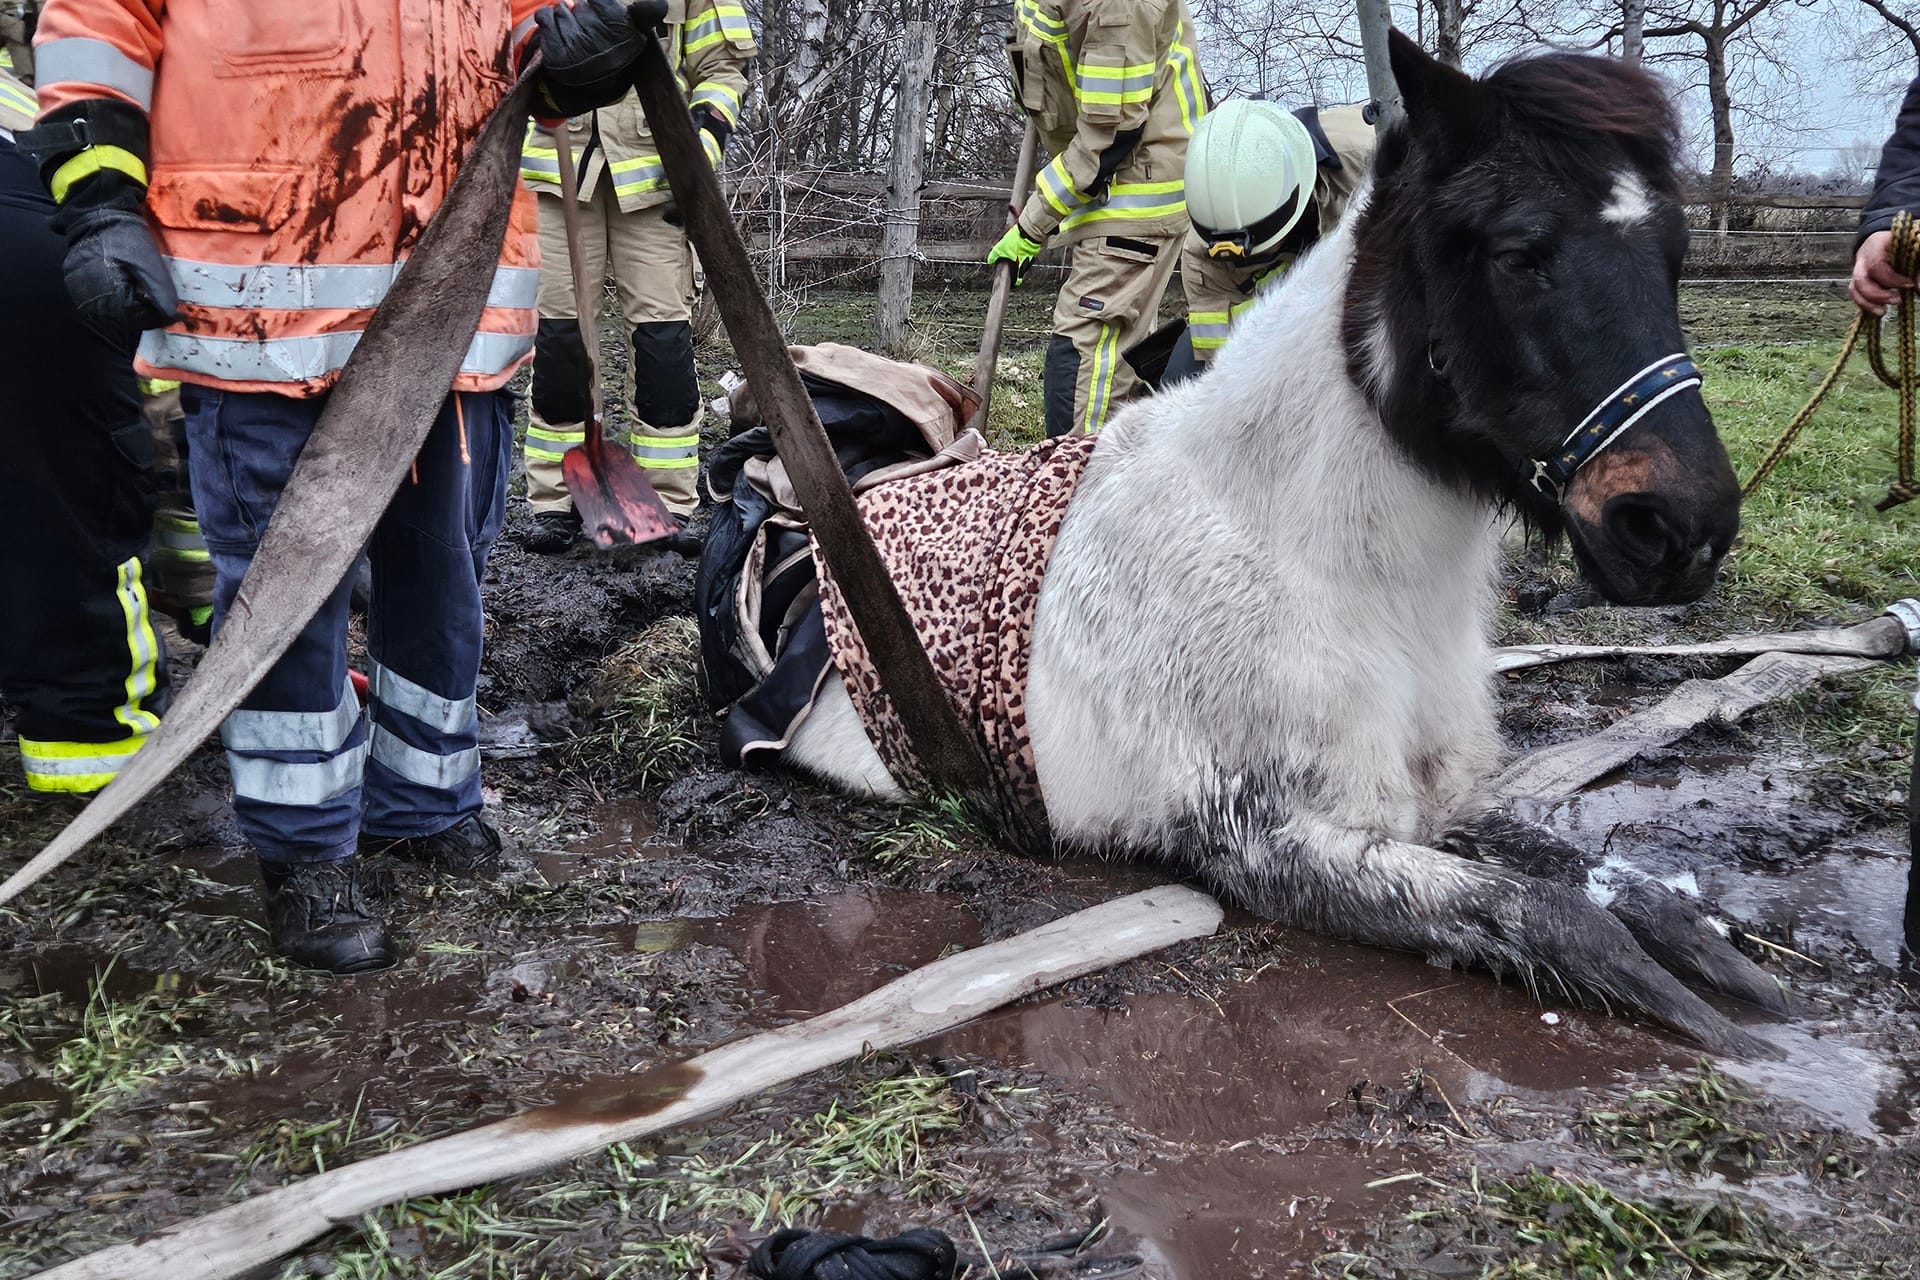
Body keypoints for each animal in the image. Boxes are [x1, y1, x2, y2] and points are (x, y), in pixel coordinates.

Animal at [787, 35, 1774, 1059]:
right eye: (1517, 254)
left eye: (1674, 257)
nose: (1679, 528)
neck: (1313, 567)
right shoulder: (1262, 841)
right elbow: (1549, 913)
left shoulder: (1437, 805)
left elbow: (1614, 887)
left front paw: (1727, 964)